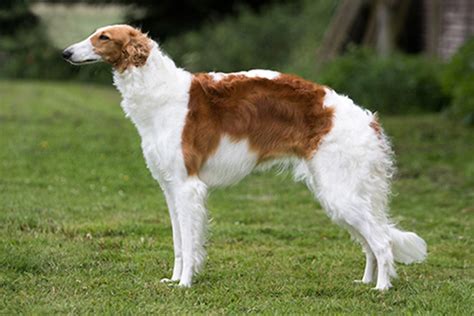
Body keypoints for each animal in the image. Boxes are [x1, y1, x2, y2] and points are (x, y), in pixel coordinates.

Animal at [63, 25, 426, 292]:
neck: (160, 93)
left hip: (341, 192)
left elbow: (190, 243)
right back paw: (365, 282)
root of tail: (368, 120)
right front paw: (174, 278)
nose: (65, 53)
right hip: (339, 193)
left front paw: (185, 284)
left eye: (103, 37)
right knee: (370, 242)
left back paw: (381, 289)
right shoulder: (170, 188)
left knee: (381, 241)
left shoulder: (187, 186)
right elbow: (179, 243)